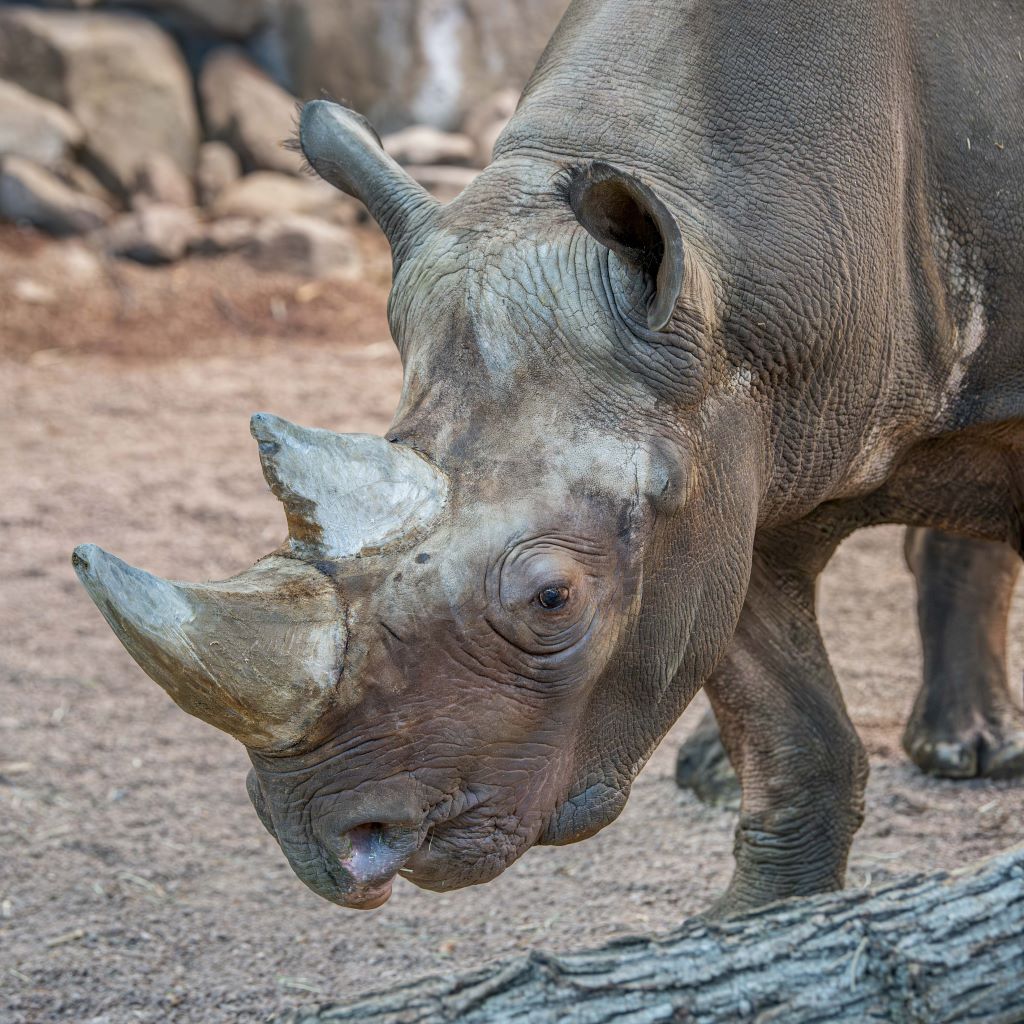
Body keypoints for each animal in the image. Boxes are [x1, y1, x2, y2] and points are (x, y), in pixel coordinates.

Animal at [74, 0, 1023, 913]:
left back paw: (967, 750)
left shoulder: (705, 429)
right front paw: (753, 926)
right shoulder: (721, 449)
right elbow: (784, 718)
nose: (312, 835)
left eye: (552, 599)